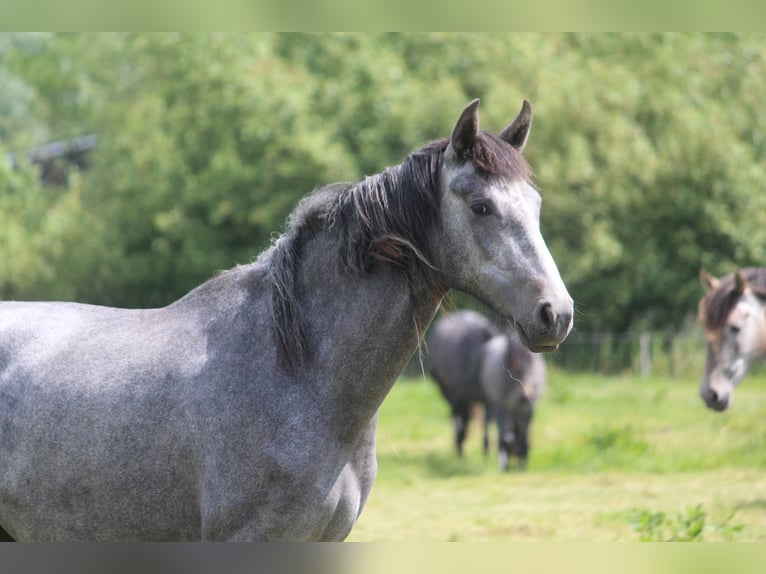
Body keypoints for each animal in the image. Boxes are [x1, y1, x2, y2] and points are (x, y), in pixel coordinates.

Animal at [426, 310, 544, 472]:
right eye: (514, 364)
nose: (525, 397)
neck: (479, 359)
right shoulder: (459, 399)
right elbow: (462, 426)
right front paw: (461, 453)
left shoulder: (489, 401)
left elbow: (488, 425)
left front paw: (487, 453)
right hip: (451, 395)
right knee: (459, 421)